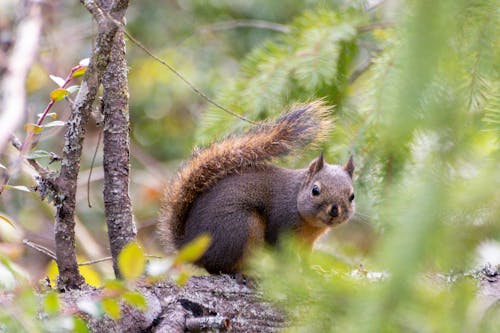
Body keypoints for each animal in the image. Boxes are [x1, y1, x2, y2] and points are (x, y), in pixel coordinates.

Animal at [158, 100, 354, 272]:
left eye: (352, 196)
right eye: (315, 190)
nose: (334, 211)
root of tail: (190, 246)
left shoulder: (307, 243)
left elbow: (305, 259)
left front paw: (312, 270)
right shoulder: (281, 227)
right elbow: (282, 256)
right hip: (242, 228)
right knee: (221, 268)